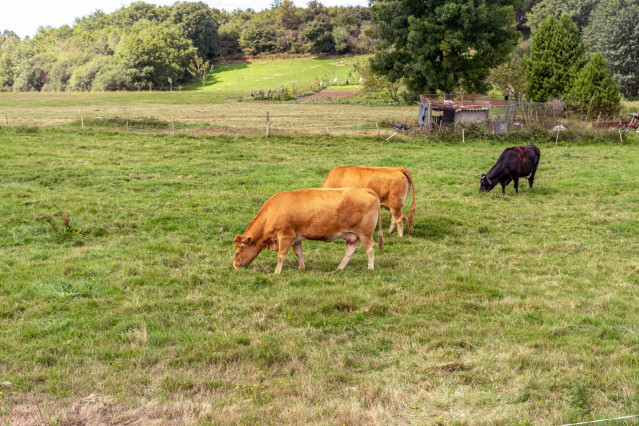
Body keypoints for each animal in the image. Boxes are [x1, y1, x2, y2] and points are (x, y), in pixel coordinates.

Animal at [235, 188, 384, 274]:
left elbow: (281, 255)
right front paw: (301, 267)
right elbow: (298, 253)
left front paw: (277, 272)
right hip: (351, 236)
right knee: (350, 250)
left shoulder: (285, 236)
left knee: (370, 248)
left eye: (237, 252)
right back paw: (340, 268)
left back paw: (370, 267)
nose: (234, 265)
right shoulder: (296, 238)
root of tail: (364, 190)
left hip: (365, 233)